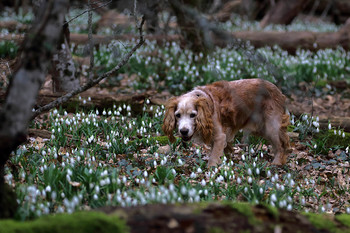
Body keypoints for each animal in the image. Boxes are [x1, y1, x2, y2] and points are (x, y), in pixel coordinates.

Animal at [163, 79, 292, 167]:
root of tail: (279, 91)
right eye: (178, 115)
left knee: (281, 145)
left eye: (193, 115)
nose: (183, 131)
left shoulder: (220, 136)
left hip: (271, 126)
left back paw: (277, 163)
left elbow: (213, 157)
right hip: (263, 129)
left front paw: (211, 170)